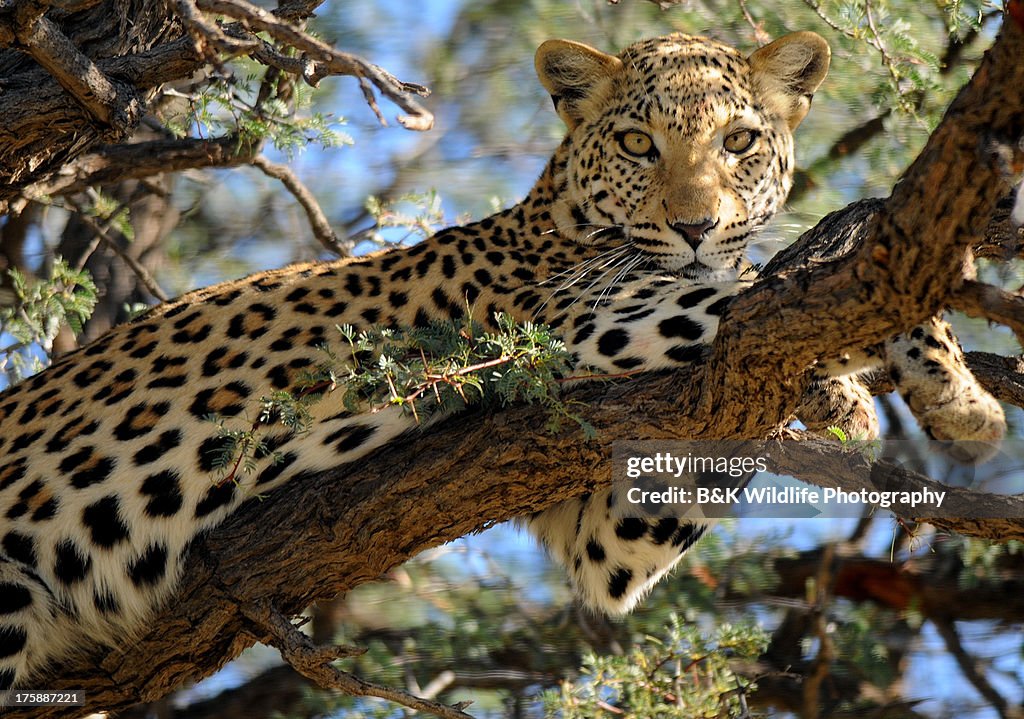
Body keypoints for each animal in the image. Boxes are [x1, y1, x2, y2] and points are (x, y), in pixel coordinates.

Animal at [0, 30, 1007, 688]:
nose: (694, 225)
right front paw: (949, 390)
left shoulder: (607, 533)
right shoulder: (576, 319)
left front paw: (863, 396)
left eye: (740, 141)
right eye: (639, 144)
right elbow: (753, 291)